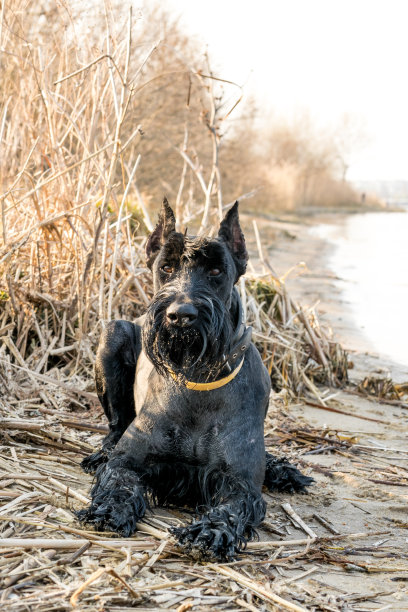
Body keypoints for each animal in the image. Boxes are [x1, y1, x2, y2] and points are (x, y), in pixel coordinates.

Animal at [77, 200, 312, 560]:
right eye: (166, 267)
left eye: (216, 271)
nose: (180, 315)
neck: (198, 378)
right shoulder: (129, 460)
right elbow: (119, 480)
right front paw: (109, 511)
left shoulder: (240, 482)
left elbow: (233, 508)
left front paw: (211, 531)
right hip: (113, 334)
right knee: (116, 424)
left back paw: (279, 469)